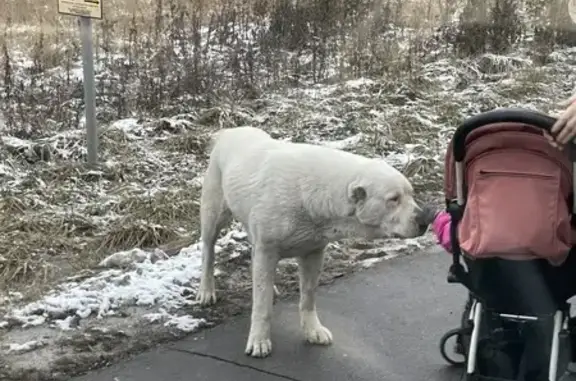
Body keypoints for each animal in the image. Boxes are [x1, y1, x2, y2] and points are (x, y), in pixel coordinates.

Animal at [196, 127, 430, 356]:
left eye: (411, 194)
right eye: (393, 199)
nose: (425, 219)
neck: (313, 195)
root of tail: (229, 131)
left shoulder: (313, 251)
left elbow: (308, 295)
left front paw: (312, 330)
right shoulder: (268, 248)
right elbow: (262, 307)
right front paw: (259, 341)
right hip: (214, 211)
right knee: (209, 249)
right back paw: (206, 291)